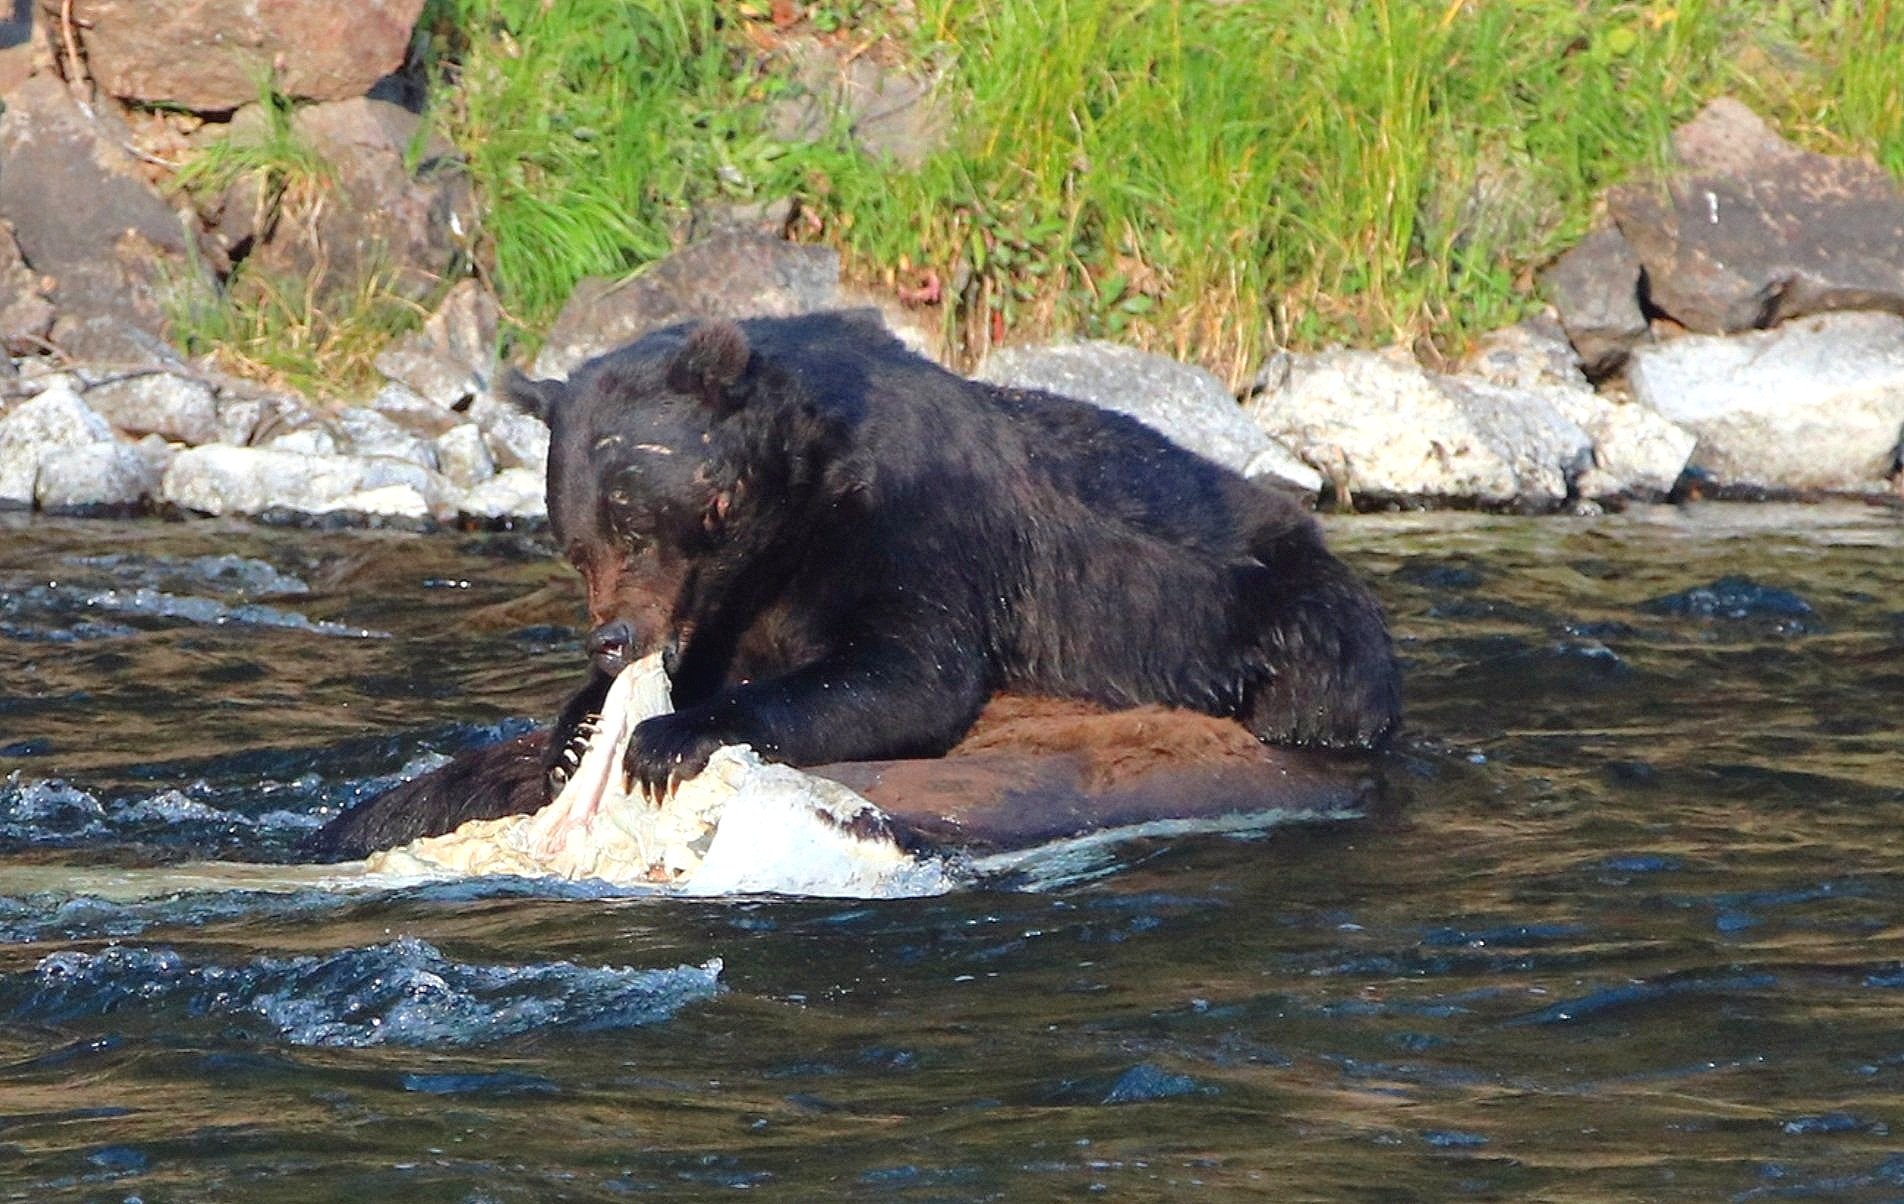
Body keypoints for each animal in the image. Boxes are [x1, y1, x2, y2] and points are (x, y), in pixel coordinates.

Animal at [309, 310, 1399, 859]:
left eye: (634, 518)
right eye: (572, 541)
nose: (610, 639)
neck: (787, 517)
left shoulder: (918, 526)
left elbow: (902, 670)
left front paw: (665, 737)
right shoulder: (739, 600)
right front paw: (580, 727)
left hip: (1283, 617)